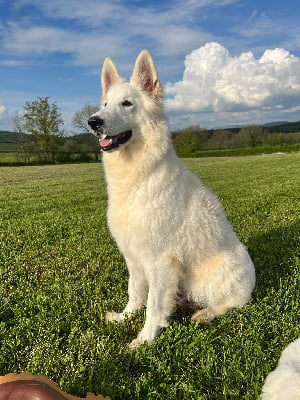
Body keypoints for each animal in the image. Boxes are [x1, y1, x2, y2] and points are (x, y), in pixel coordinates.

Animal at [87, 50, 255, 346]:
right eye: (105, 104)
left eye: (127, 104)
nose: (93, 121)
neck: (138, 179)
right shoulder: (133, 257)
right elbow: (135, 292)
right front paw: (125, 318)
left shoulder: (160, 262)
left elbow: (154, 305)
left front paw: (145, 339)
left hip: (216, 279)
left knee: (230, 304)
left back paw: (204, 314)